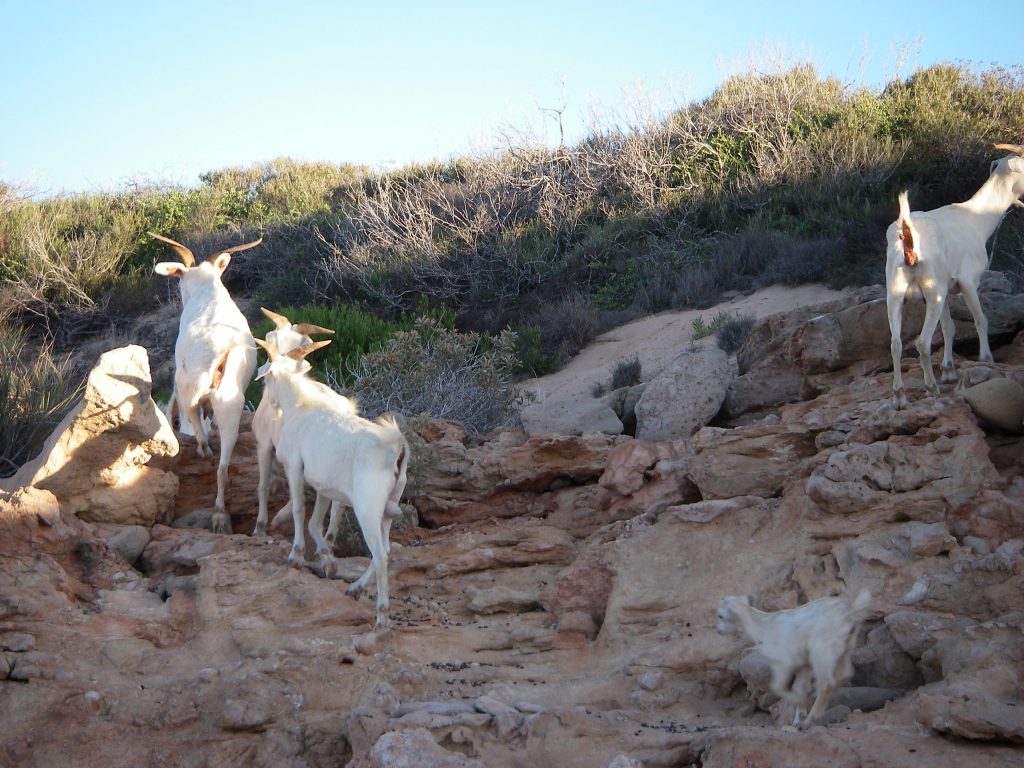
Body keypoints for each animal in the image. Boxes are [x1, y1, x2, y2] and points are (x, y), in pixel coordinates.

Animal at [153, 234, 264, 536]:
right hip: (232, 402)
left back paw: (203, 449)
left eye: (179, 278)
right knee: (224, 463)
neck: (208, 291)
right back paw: (220, 516)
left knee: (192, 415)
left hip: (188, 383)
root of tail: (224, 349)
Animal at [254, 339, 407, 626]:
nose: (270, 400)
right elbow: (315, 523)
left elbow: (299, 510)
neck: (300, 410)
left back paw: (381, 615)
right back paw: (355, 588)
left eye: (267, 377)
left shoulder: (294, 467)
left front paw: (296, 555)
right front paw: (327, 558)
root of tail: (397, 451)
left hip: (368, 509)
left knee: (380, 554)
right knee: (387, 548)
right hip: (388, 509)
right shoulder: (324, 486)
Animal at [712, 593, 872, 729]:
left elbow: (777, 687)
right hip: (844, 649)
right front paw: (797, 718)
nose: (718, 631)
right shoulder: (803, 665)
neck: (763, 627)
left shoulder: (782, 663)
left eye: (720, 615)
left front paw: (800, 706)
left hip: (821, 651)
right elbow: (799, 688)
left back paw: (810, 720)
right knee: (845, 675)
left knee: (826, 684)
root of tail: (849, 614)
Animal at [884, 144, 1019, 409]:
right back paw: (931, 387)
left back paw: (900, 396)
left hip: (895, 291)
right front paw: (986, 358)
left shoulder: (946, 290)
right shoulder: (968, 281)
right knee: (922, 342)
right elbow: (980, 320)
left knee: (896, 343)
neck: (976, 218)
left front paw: (948, 372)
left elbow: (949, 327)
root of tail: (909, 243)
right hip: (931, 291)